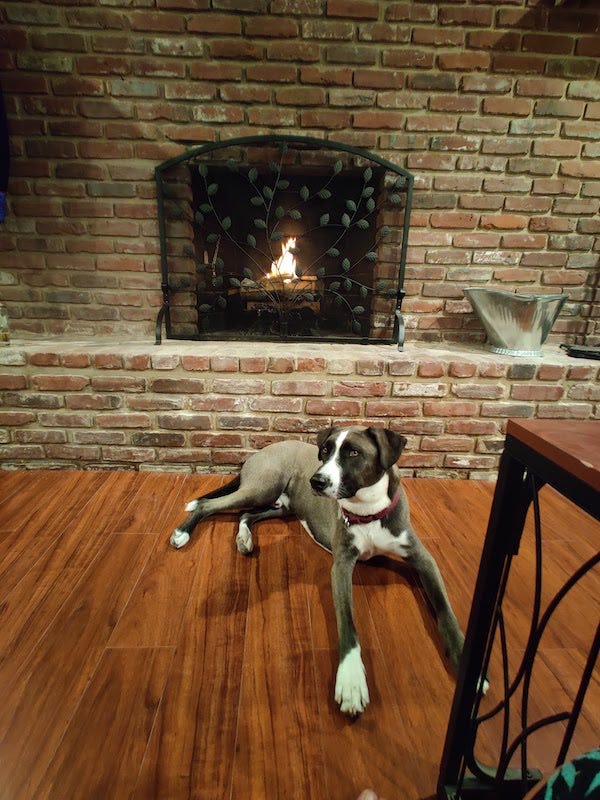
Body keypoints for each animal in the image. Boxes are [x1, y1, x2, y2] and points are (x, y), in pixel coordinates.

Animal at [170, 425, 465, 716]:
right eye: (325, 450)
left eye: (354, 453)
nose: (317, 481)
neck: (368, 511)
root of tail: (265, 449)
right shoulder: (341, 566)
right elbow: (347, 622)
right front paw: (351, 680)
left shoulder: (423, 560)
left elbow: (445, 611)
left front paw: (463, 654)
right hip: (263, 488)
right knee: (210, 505)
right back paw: (183, 533)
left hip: (282, 506)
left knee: (245, 515)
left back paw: (244, 538)